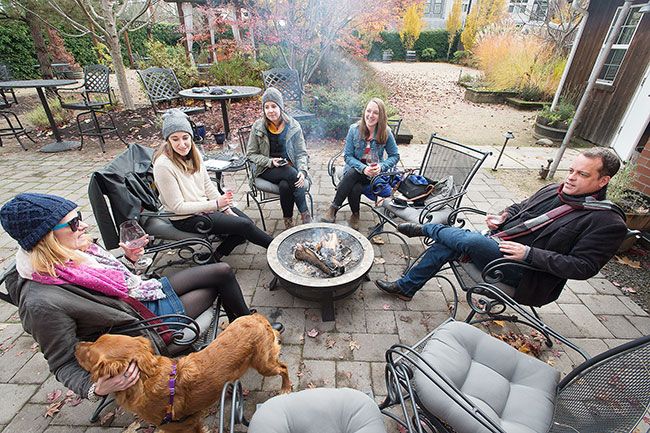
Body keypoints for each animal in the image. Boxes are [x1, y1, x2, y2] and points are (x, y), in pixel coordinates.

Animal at [74, 312, 290, 430]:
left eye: (91, 356)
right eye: (96, 339)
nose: (76, 344)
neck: (148, 378)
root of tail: (255, 317)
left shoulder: (181, 426)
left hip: (264, 364)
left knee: (283, 367)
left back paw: (286, 389)